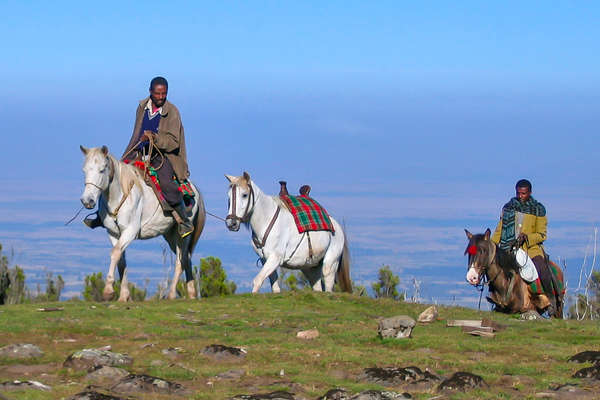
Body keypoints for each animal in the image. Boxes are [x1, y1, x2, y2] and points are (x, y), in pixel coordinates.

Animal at [79, 145, 206, 302]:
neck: (120, 194)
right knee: (186, 258)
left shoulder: (130, 231)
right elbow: (121, 260)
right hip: (170, 236)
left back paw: (171, 294)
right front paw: (123, 296)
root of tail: (194, 189)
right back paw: (191, 293)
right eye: (84, 170)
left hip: (182, 235)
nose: (87, 201)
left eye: (102, 170)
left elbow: (115, 253)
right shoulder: (113, 233)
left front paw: (108, 291)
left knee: (180, 260)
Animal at [224, 172, 352, 294]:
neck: (267, 220)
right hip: (310, 267)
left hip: (330, 263)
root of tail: (337, 226)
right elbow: (275, 287)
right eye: (229, 197)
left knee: (328, 284)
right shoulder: (265, 259)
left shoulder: (275, 258)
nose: (231, 223)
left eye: (244, 195)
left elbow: (258, 280)